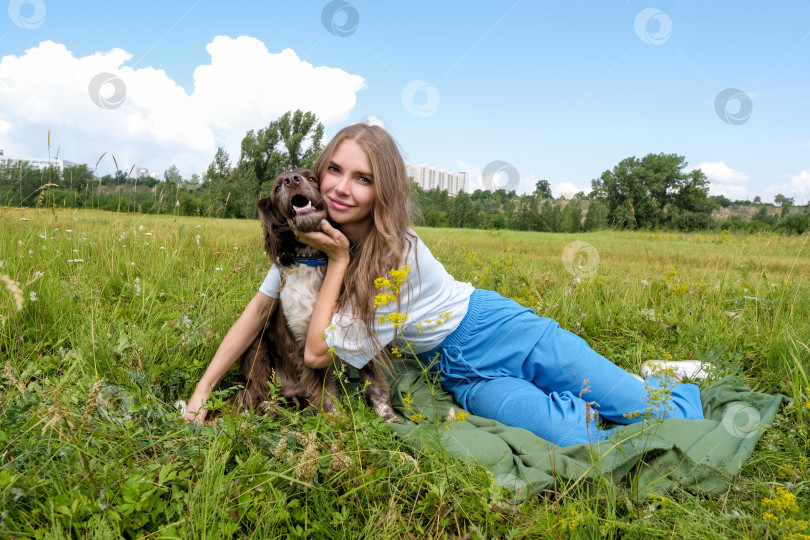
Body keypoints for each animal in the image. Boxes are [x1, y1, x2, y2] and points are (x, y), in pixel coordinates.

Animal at [232, 167, 400, 424]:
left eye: (310, 177)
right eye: (277, 187)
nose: (292, 180)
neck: (312, 259)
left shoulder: (358, 335)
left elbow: (376, 384)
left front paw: (390, 418)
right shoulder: (304, 345)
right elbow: (326, 395)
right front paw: (339, 424)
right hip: (258, 349)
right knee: (253, 399)